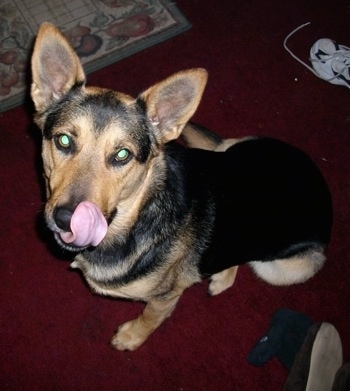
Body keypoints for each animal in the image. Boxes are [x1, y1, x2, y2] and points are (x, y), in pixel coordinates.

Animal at [30, 23, 334, 350]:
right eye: (63, 140)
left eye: (122, 155)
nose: (65, 219)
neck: (135, 218)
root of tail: (316, 177)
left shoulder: (164, 298)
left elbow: (150, 318)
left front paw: (132, 337)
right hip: (232, 147)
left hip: (283, 268)